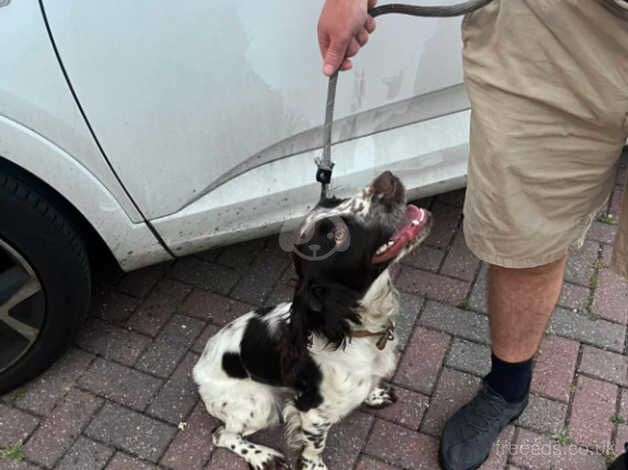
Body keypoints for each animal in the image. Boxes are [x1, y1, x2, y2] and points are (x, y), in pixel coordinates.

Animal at [193, 171, 432, 468]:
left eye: (339, 200)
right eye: (337, 237)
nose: (386, 180)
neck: (354, 330)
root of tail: (198, 370)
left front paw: (375, 395)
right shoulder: (312, 411)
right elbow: (315, 445)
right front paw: (313, 464)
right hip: (258, 405)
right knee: (221, 435)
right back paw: (263, 456)